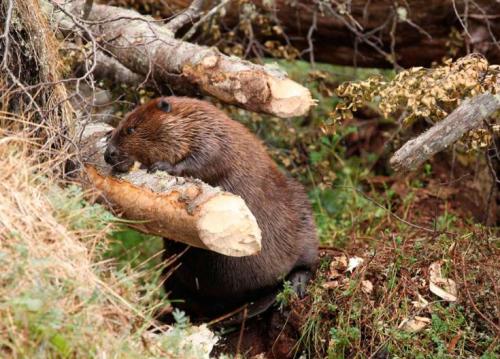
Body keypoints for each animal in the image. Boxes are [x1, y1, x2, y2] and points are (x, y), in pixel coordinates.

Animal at [103, 97, 318, 322]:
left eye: (131, 129)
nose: (109, 154)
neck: (195, 120)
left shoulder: (213, 138)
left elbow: (204, 158)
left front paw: (161, 166)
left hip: (301, 213)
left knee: (307, 262)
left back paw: (296, 283)